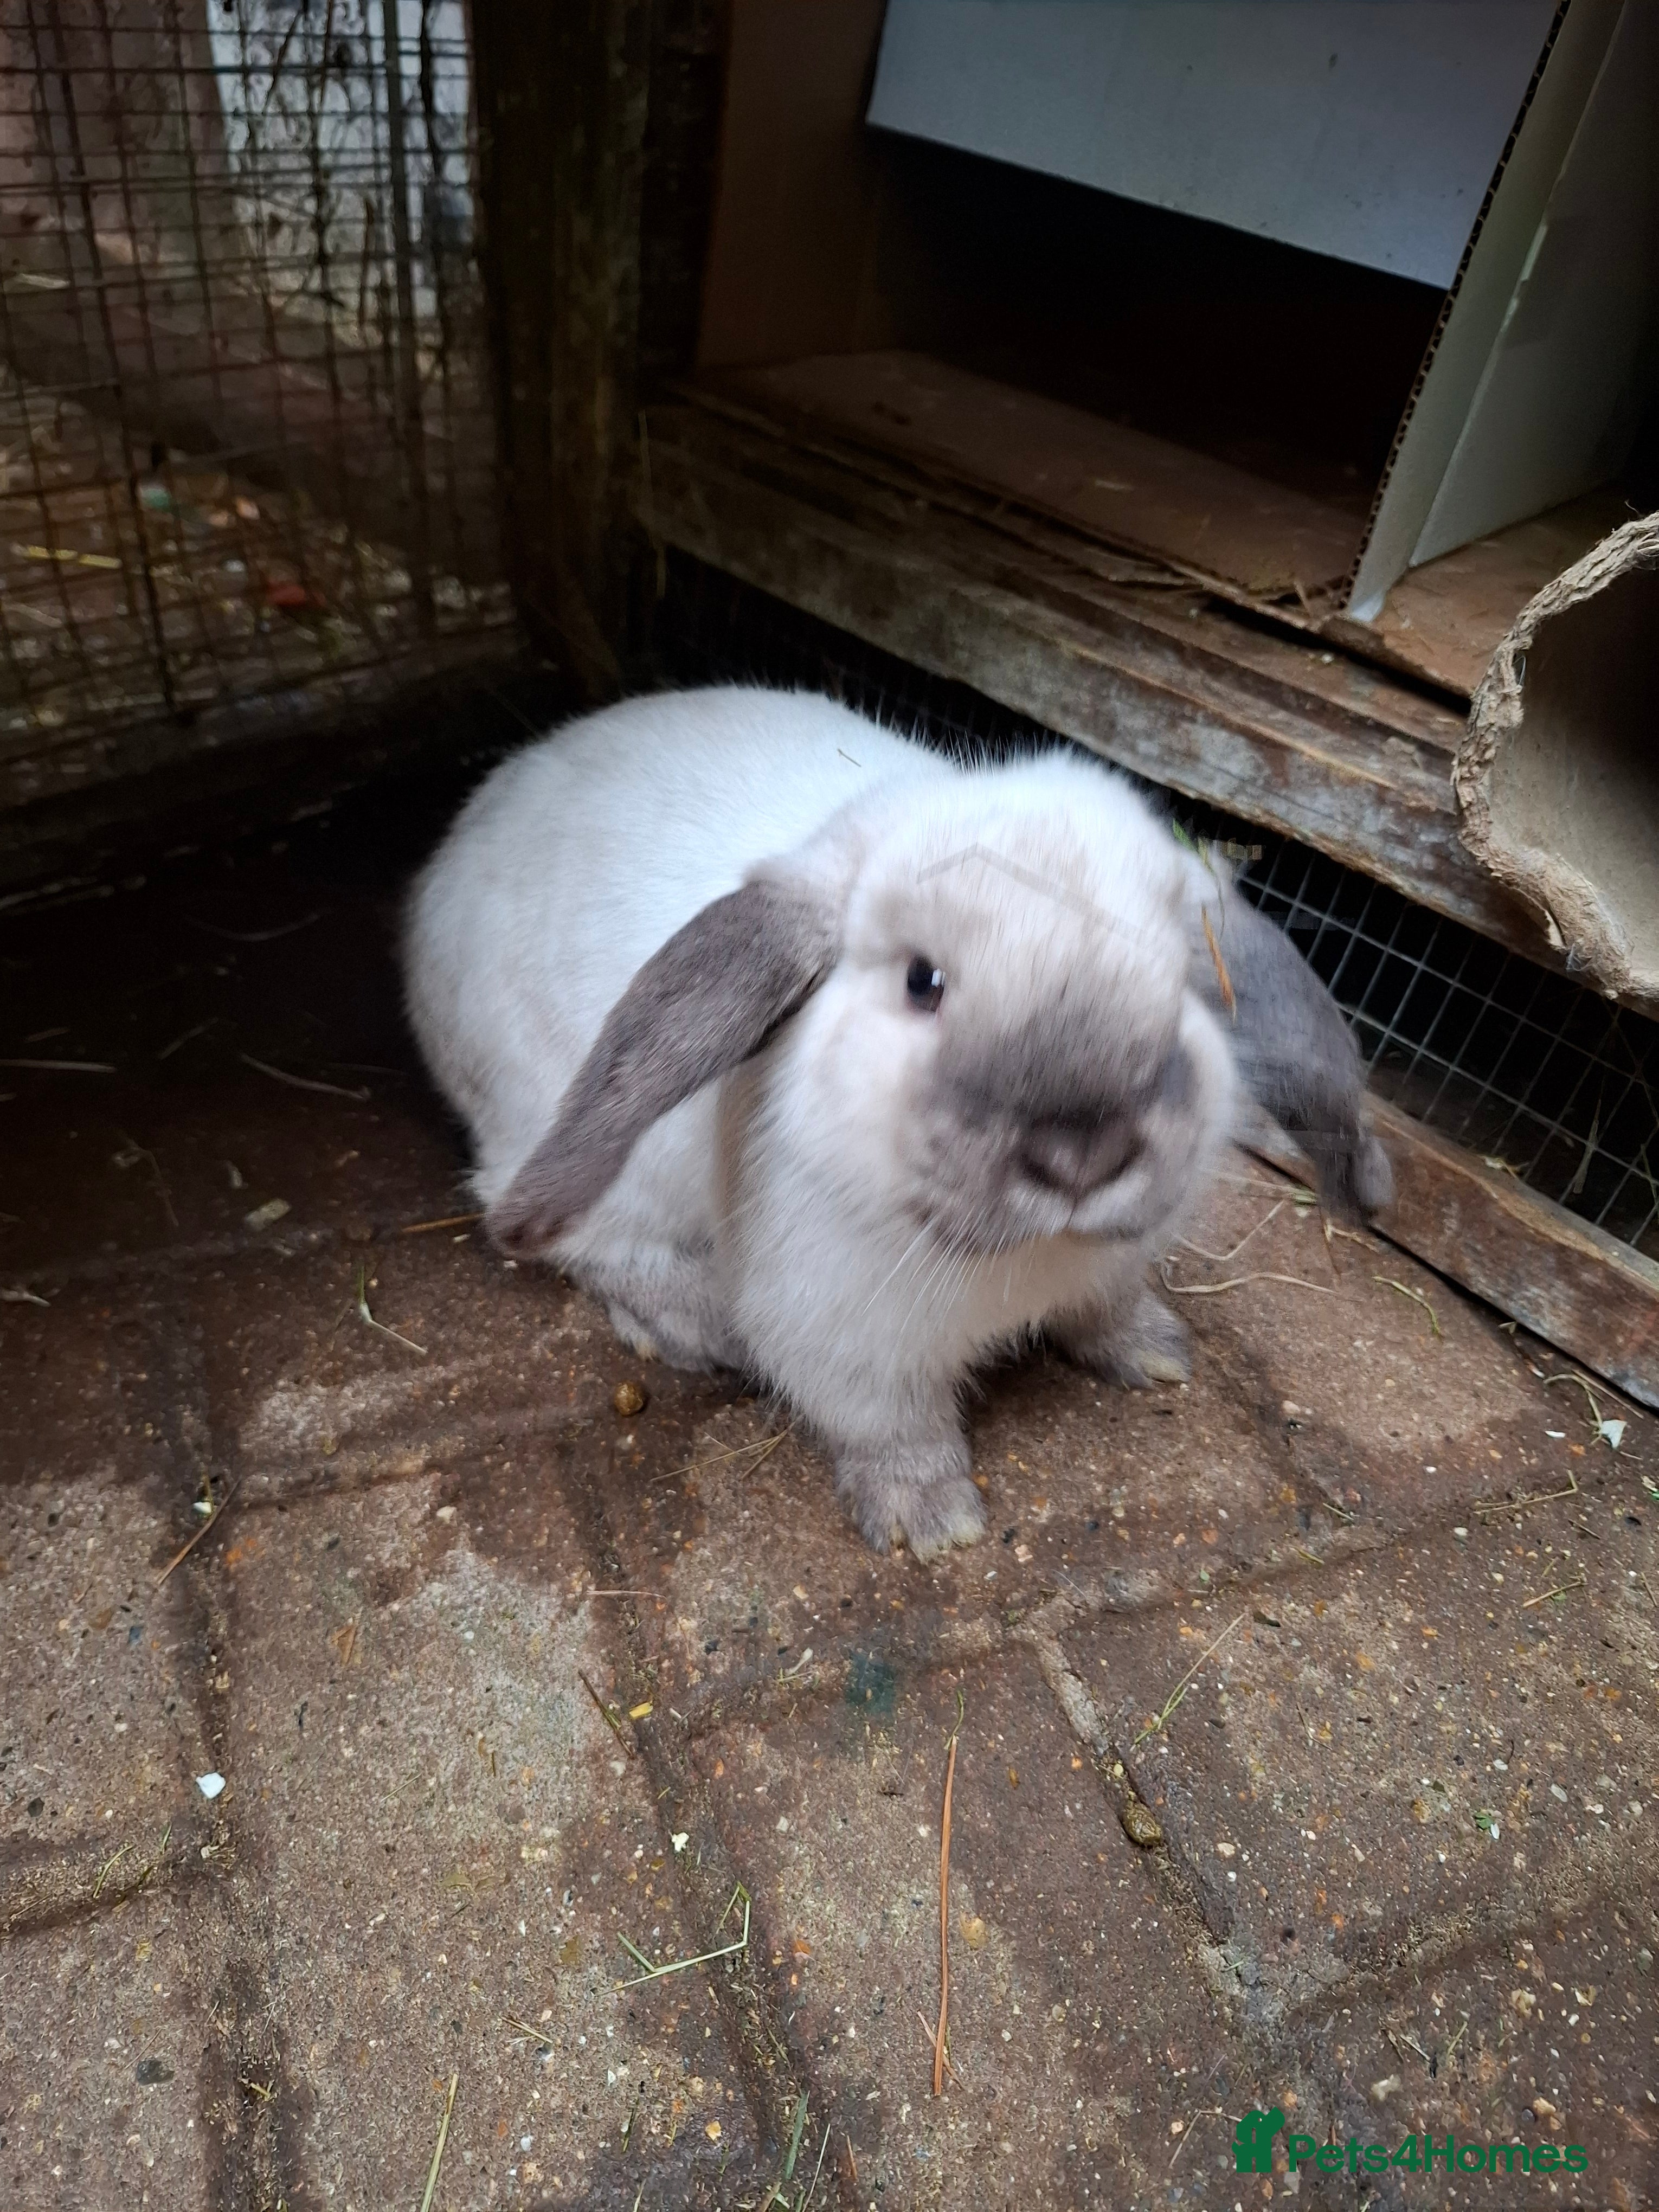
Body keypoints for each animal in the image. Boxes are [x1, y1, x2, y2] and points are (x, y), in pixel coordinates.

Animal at [405, 686, 1390, 1558]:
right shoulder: (843, 1341)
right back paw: (697, 1324)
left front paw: (1156, 1356)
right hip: (574, 1147)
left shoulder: (1110, 1267)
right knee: (583, 1238)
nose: (1085, 1153)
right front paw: (933, 1525)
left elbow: (1108, 1310)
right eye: (924, 981)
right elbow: (892, 1431)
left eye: (1183, 976)